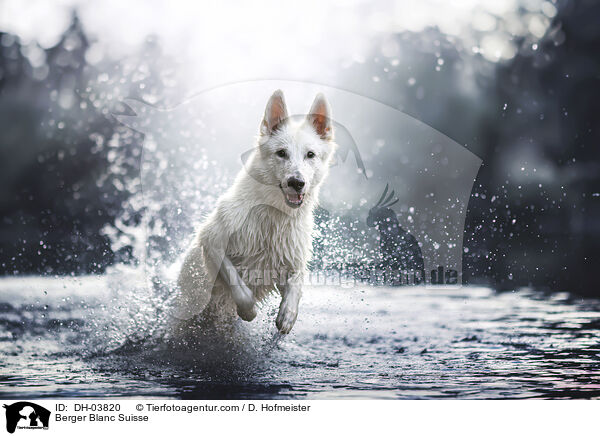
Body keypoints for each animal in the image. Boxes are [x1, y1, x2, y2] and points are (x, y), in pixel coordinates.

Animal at [177, 89, 338, 334]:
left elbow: (297, 284)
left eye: (310, 154)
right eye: (281, 153)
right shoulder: (212, 241)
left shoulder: (291, 260)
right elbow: (238, 284)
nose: (296, 182)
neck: (273, 215)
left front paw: (288, 316)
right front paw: (248, 311)